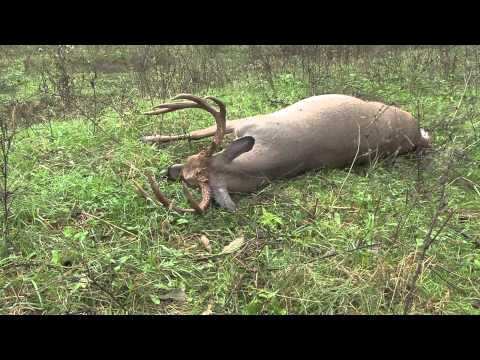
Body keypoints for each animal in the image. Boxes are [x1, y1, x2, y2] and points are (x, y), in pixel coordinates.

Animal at [135, 94, 432, 215]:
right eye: (191, 161)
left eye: (192, 180)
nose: (169, 172)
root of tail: (418, 136)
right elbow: (198, 133)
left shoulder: (253, 121)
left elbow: (197, 131)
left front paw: (148, 135)